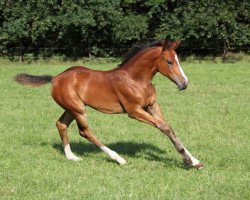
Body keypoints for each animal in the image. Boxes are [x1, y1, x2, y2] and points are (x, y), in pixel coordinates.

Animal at [15, 38, 203, 169]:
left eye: (178, 60)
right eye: (169, 61)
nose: (184, 83)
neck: (136, 79)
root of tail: (55, 78)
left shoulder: (152, 106)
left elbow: (168, 127)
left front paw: (194, 161)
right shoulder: (134, 111)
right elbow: (163, 127)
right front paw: (188, 160)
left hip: (71, 108)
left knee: (61, 124)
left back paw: (71, 157)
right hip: (78, 109)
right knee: (85, 132)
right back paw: (118, 158)